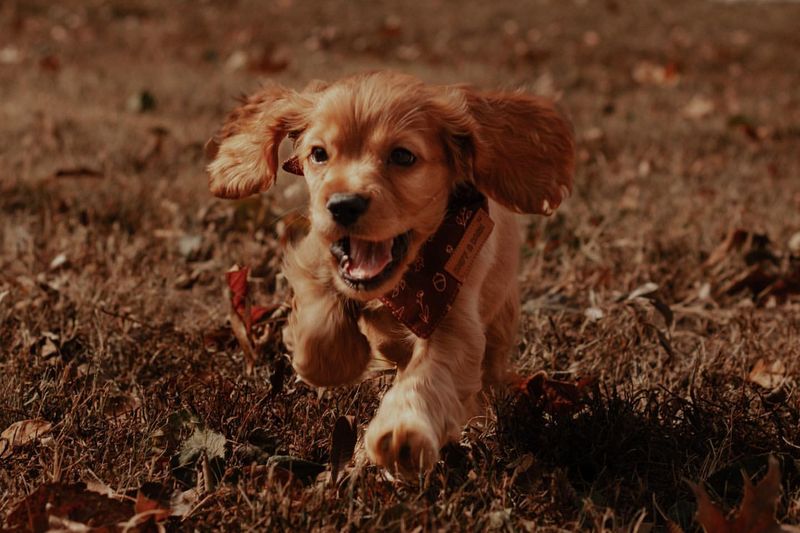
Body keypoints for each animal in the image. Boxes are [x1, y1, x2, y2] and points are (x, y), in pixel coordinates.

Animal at [206, 71, 576, 474]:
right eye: (319, 154)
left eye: (402, 156)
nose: (343, 205)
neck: (403, 286)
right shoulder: (316, 255)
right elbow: (320, 318)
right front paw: (338, 360)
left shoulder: (453, 317)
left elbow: (429, 374)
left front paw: (401, 432)